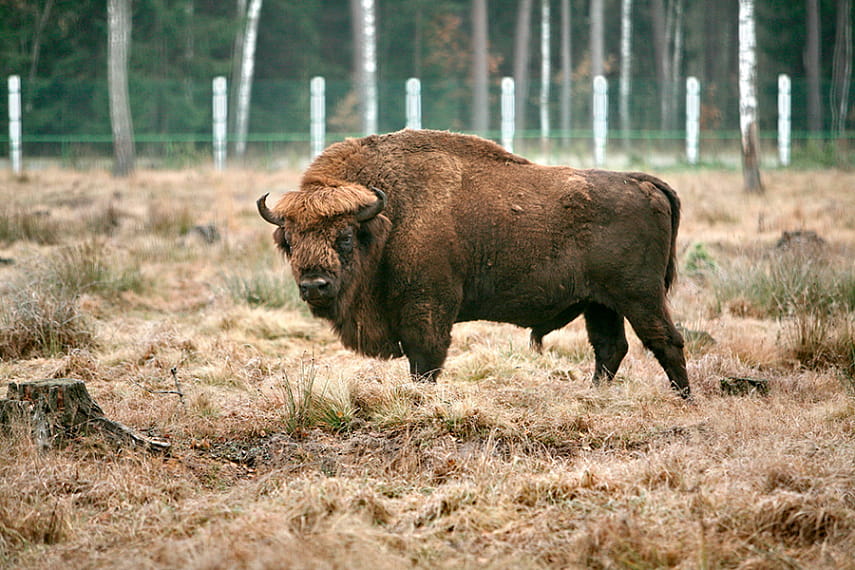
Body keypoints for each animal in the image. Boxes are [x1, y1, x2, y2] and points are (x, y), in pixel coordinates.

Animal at [258, 129, 692, 394]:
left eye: (345, 237)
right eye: (289, 241)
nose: (314, 285)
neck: (387, 216)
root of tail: (643, 182)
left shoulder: (427, 311)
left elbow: (425, 363)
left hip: (639, 296)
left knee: (666, 341)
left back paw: (683, 400)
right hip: (600, 303)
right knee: (610, 348)